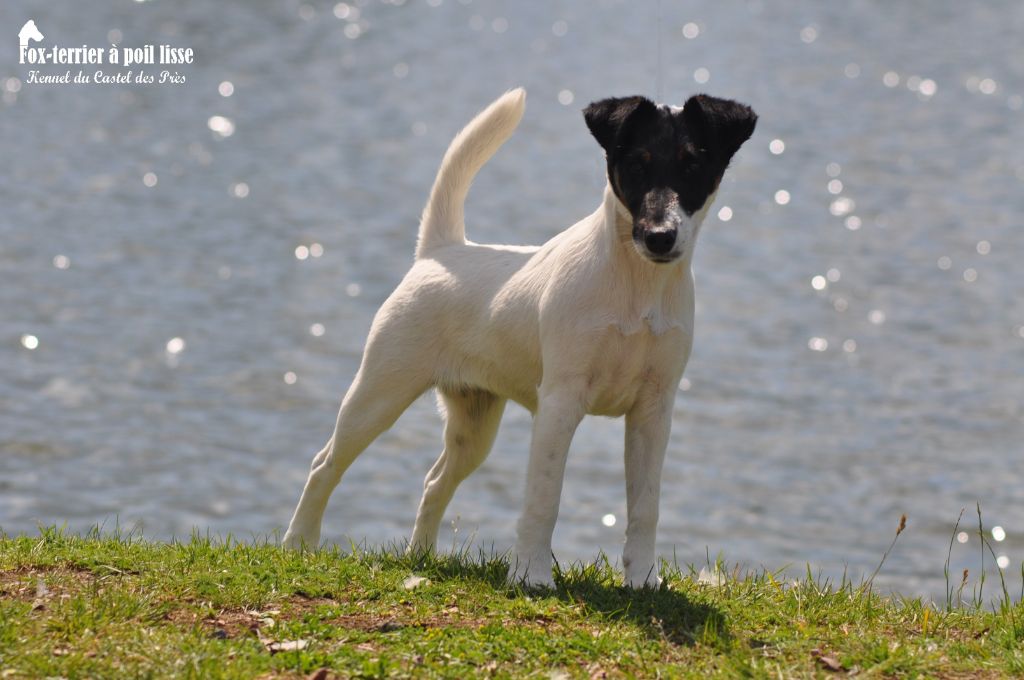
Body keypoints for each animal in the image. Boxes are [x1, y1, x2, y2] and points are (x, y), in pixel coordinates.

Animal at [284, 89, 757, 589]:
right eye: (636, 164)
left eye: (692, 165)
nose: (660, 237)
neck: (637, 287)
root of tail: (439, 252)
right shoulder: (560, 401)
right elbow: (544, 498)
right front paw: (531, 574)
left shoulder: (654, 409)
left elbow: (645, 506)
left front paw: (644, 580)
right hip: (379, 393)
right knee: (325, 464)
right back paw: (299, 544)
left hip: (473, 426)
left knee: (434, 482)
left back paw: (421, 557)